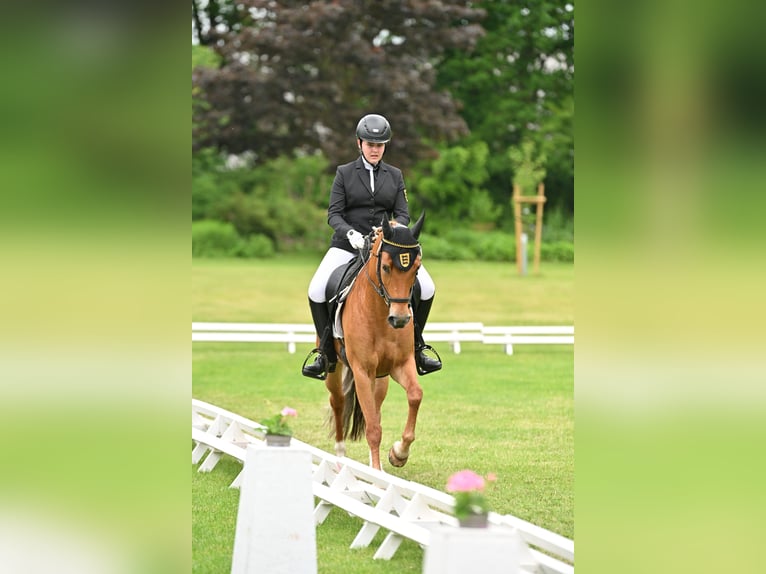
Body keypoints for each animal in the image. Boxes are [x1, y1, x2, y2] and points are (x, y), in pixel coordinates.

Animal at [324, 213, 425, 470]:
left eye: (416, 269)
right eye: (386, 267)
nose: (400, 319)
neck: (379, 315)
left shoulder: (401, 364)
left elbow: (415, 395)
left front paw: (398, 454)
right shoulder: (361, 370)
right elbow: (372, 429)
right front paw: (377, 473)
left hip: (381, 379)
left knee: (376, 408)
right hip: (335, 368)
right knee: (338, 401)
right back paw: (340, 457)